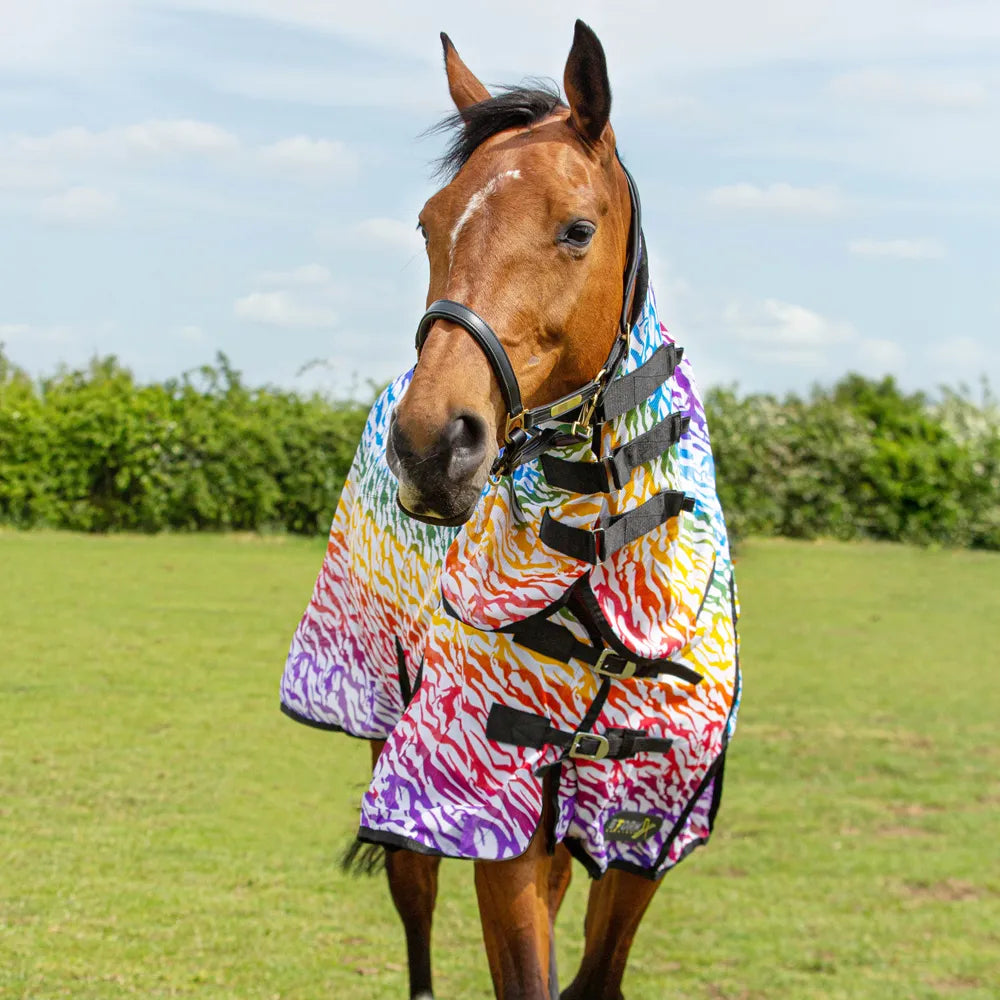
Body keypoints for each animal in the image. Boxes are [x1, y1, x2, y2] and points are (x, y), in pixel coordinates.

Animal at [282, 17, 744, 1000]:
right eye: (430, 223)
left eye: (577, 229)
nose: (431, 444)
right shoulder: (489, 804)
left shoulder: (642, 830)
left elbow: (593, 975)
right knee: (415, 909)